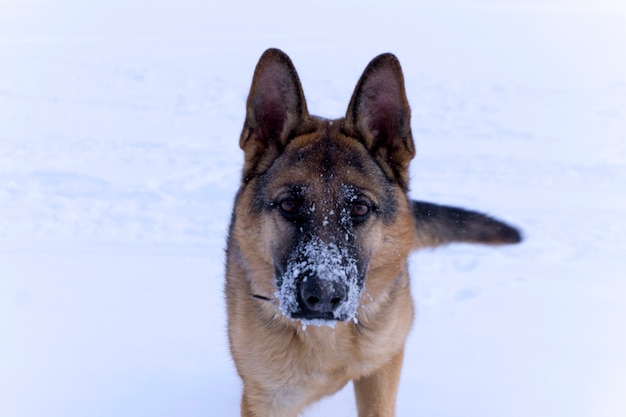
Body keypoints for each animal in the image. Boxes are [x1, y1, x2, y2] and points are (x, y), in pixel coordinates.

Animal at [225, 47, 520, 414]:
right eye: (289, 205)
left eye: (360, 208)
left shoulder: (383, 366)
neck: (327, 336)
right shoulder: (267, 398)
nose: (323, 295)